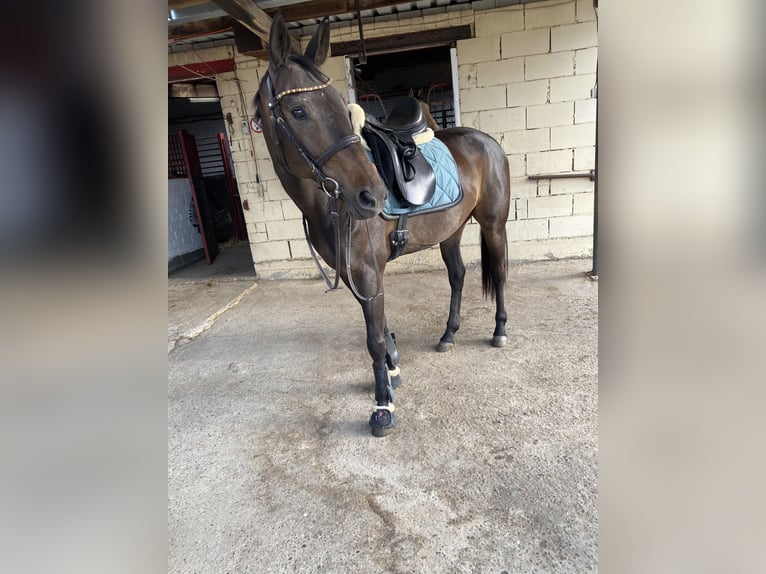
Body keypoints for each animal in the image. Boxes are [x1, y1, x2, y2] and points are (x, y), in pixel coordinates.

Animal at [255, 13, 512, 436]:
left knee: (501, 273)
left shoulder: (366, 270)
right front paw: (391, 372)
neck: (329, 203)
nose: (372, 196)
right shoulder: (360, 274)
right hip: (452, 230)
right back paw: (448, 334)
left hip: (494, 224)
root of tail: (485, 140)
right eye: (298, 111)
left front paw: (383, 405)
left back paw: (500, 330)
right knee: (457, 275)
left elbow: (373, 337)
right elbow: (380, 326)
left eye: (341, 106)